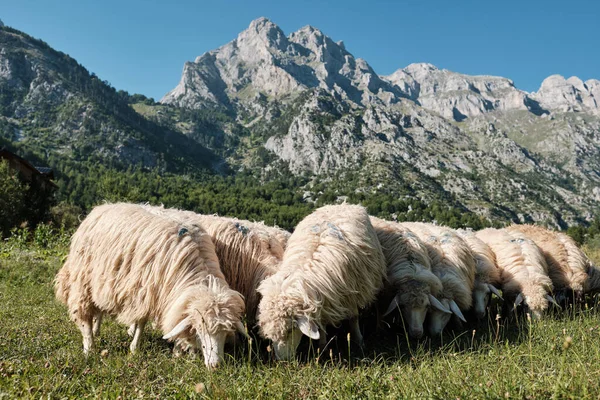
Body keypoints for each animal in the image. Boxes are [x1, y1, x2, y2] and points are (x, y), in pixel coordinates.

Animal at [54, 203, 245, 368]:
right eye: (200, 329)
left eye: (225, 333)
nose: (216, 366)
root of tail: (102, 206)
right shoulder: (143, 290)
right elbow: (141, 321)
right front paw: (134, 349)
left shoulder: (157, 294)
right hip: (83, 278)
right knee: (83, 312)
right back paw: (89, 347)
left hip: (100, 281)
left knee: (98, 308)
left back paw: (96, 330)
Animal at [255, 205, 386, 360]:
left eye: (290, 330)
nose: (282, 360)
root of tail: (340, 204)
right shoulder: (324, 299)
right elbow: (321, 323)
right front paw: (322, 346)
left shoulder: (352, 292)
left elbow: (353, 318)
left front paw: (359, 341)